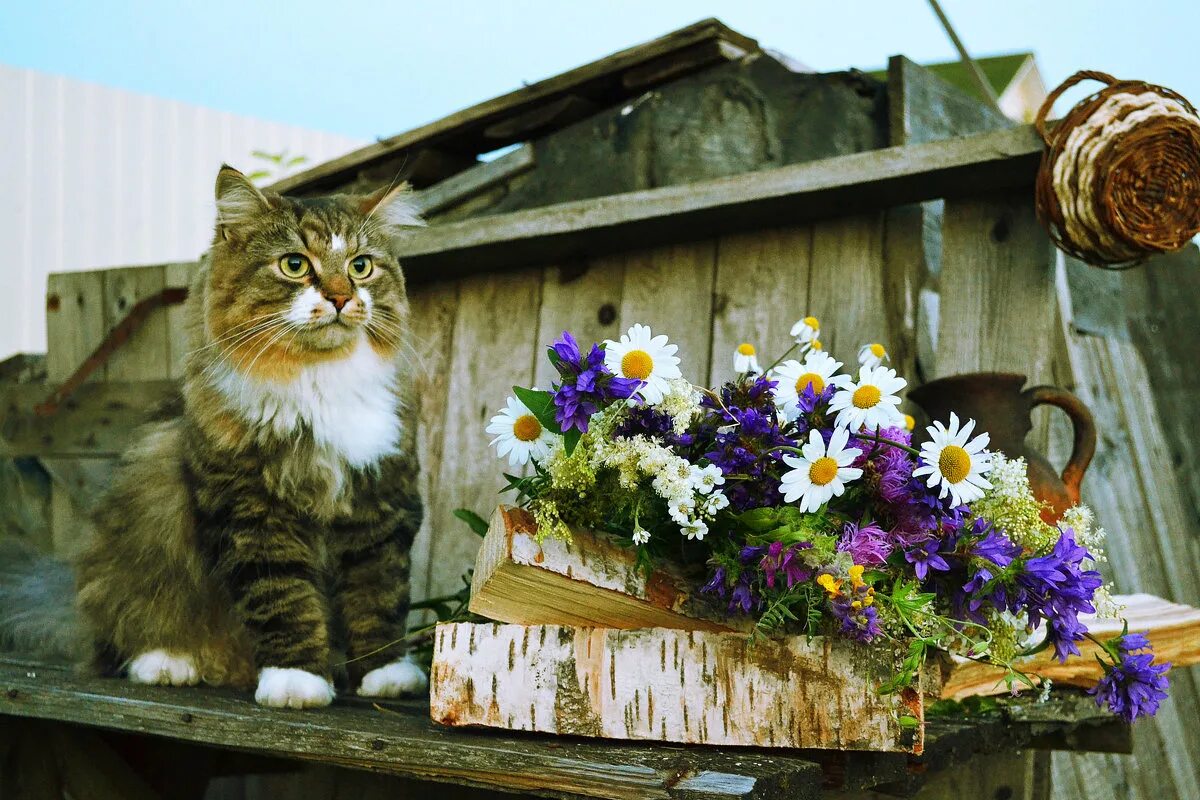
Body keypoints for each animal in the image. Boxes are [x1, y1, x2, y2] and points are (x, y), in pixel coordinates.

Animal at [2, 164, 429, 705]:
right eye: (295, 265)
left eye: (360, 267)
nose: (340, 296)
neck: (318, 381)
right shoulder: (251, 507)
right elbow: (285, 598)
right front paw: (297, 681)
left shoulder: (381, 500)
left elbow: (379, 596)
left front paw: (387, 674)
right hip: (134, 545)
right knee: (121, 641)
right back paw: (168, 662)